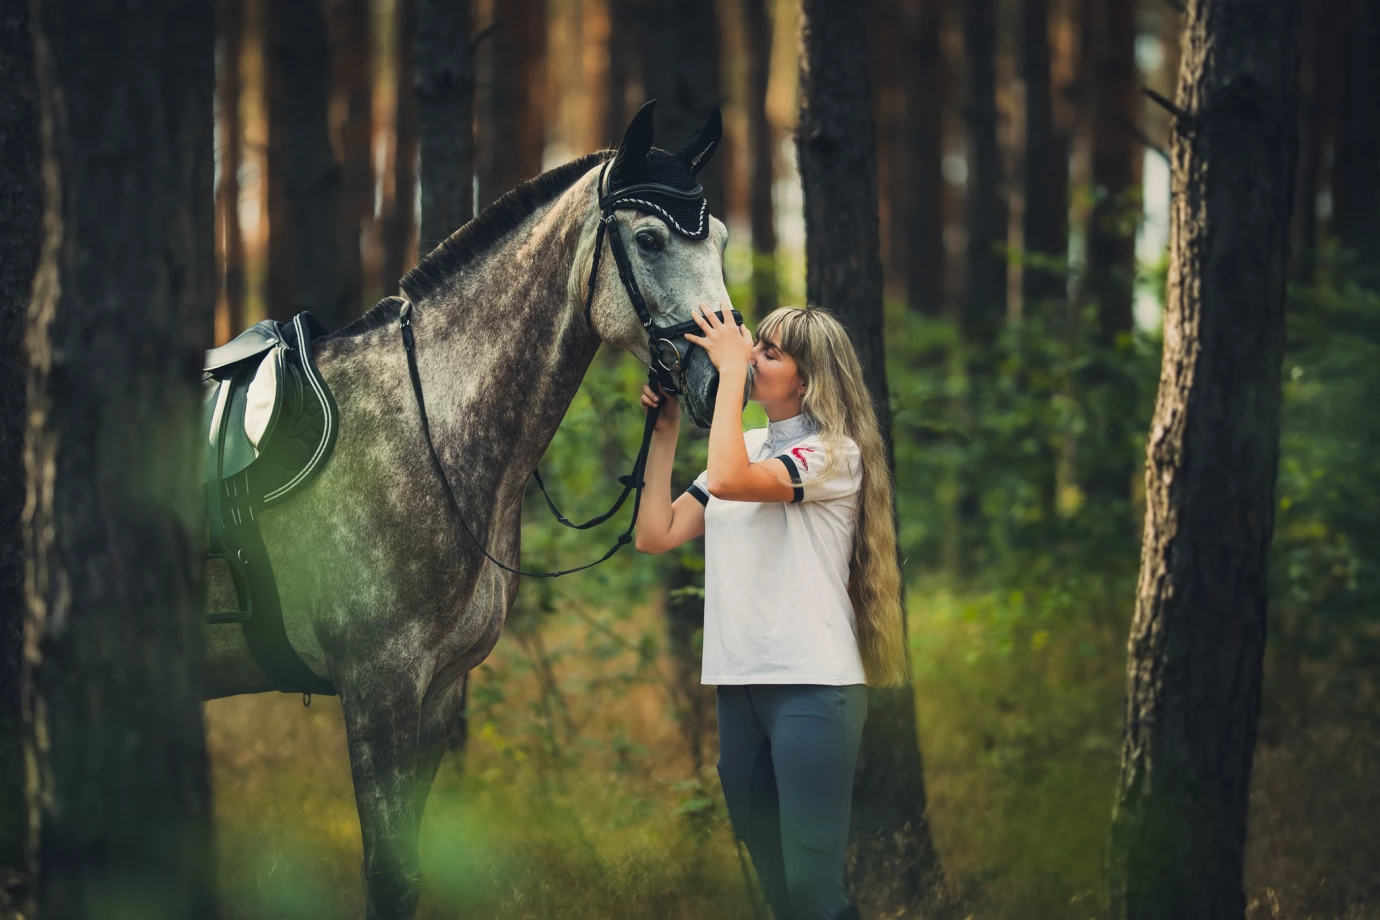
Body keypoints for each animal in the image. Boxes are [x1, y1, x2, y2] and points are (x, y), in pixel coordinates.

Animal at [202, 106, 734, 915]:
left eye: (724, 241)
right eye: (649, 240)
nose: (726, 379)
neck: (428, 427)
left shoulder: (440, 690)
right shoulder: (377, 687)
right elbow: (389, 874)